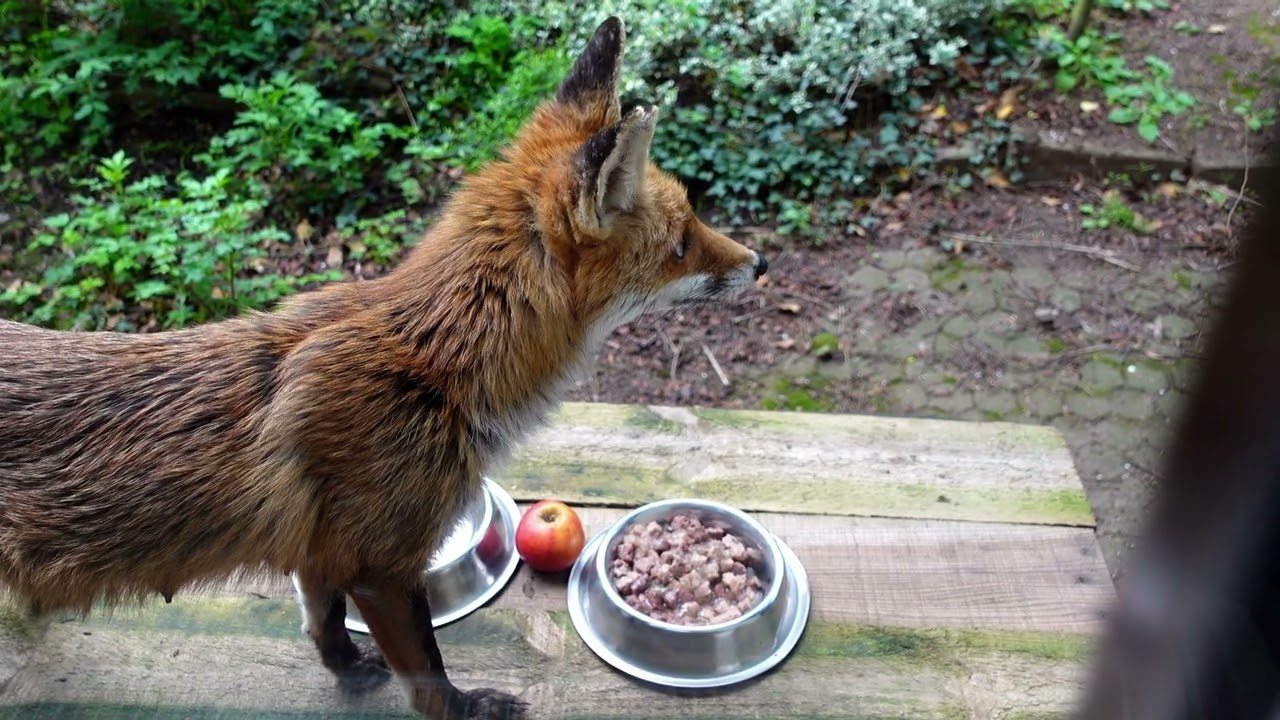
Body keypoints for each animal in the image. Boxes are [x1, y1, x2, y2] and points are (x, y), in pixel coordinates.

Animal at [0, 15, 766, 720]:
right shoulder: (384, 567)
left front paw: (346, 671)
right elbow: (427, 678)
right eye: (682, 242)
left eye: (694, 220)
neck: (441, 368)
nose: (760, 264)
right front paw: (464, 709)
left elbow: (323, 621)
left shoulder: (323, 549)